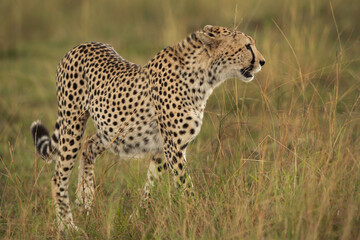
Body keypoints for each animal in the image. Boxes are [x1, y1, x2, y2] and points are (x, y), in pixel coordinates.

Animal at [30, 25, 264, 232]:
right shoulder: (173, 147)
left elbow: (150, 186)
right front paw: (198, 216)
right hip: (73, 123)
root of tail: (80, 45)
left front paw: (137, 217)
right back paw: (66, 225)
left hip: (110, 131)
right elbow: (185, 186)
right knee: (58, 176)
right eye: (247, 46)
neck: (205, 76)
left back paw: (84, 200)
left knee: (88, 146)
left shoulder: (163, 148)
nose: (262, 61)